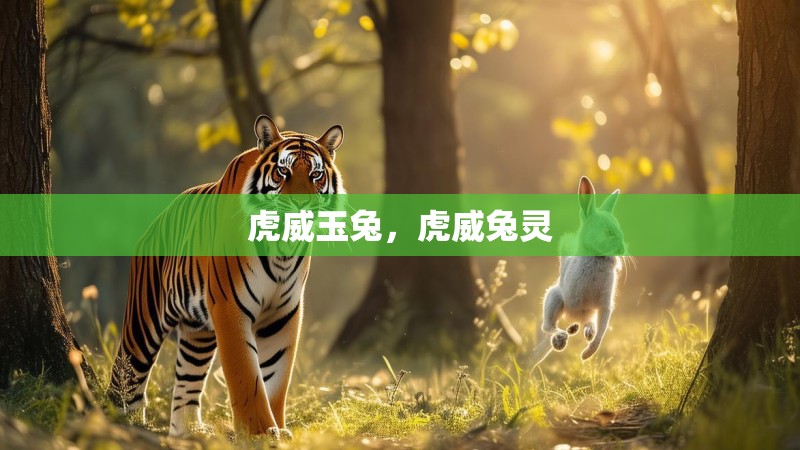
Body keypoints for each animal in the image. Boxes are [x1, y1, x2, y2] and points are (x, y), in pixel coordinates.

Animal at [107, 115, 344, 437]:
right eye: (283, 171)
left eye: (316, 174)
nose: (301, 206)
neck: (281, 249)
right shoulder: (230, 306)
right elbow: (246, 376)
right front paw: (260, 433)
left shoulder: (283, 313)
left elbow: (276, 377)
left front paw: (279, 429)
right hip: (144, 321)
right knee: (126, 374)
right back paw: (122, 423)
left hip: (198, 333)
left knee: (187, 383)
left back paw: (189, 432)